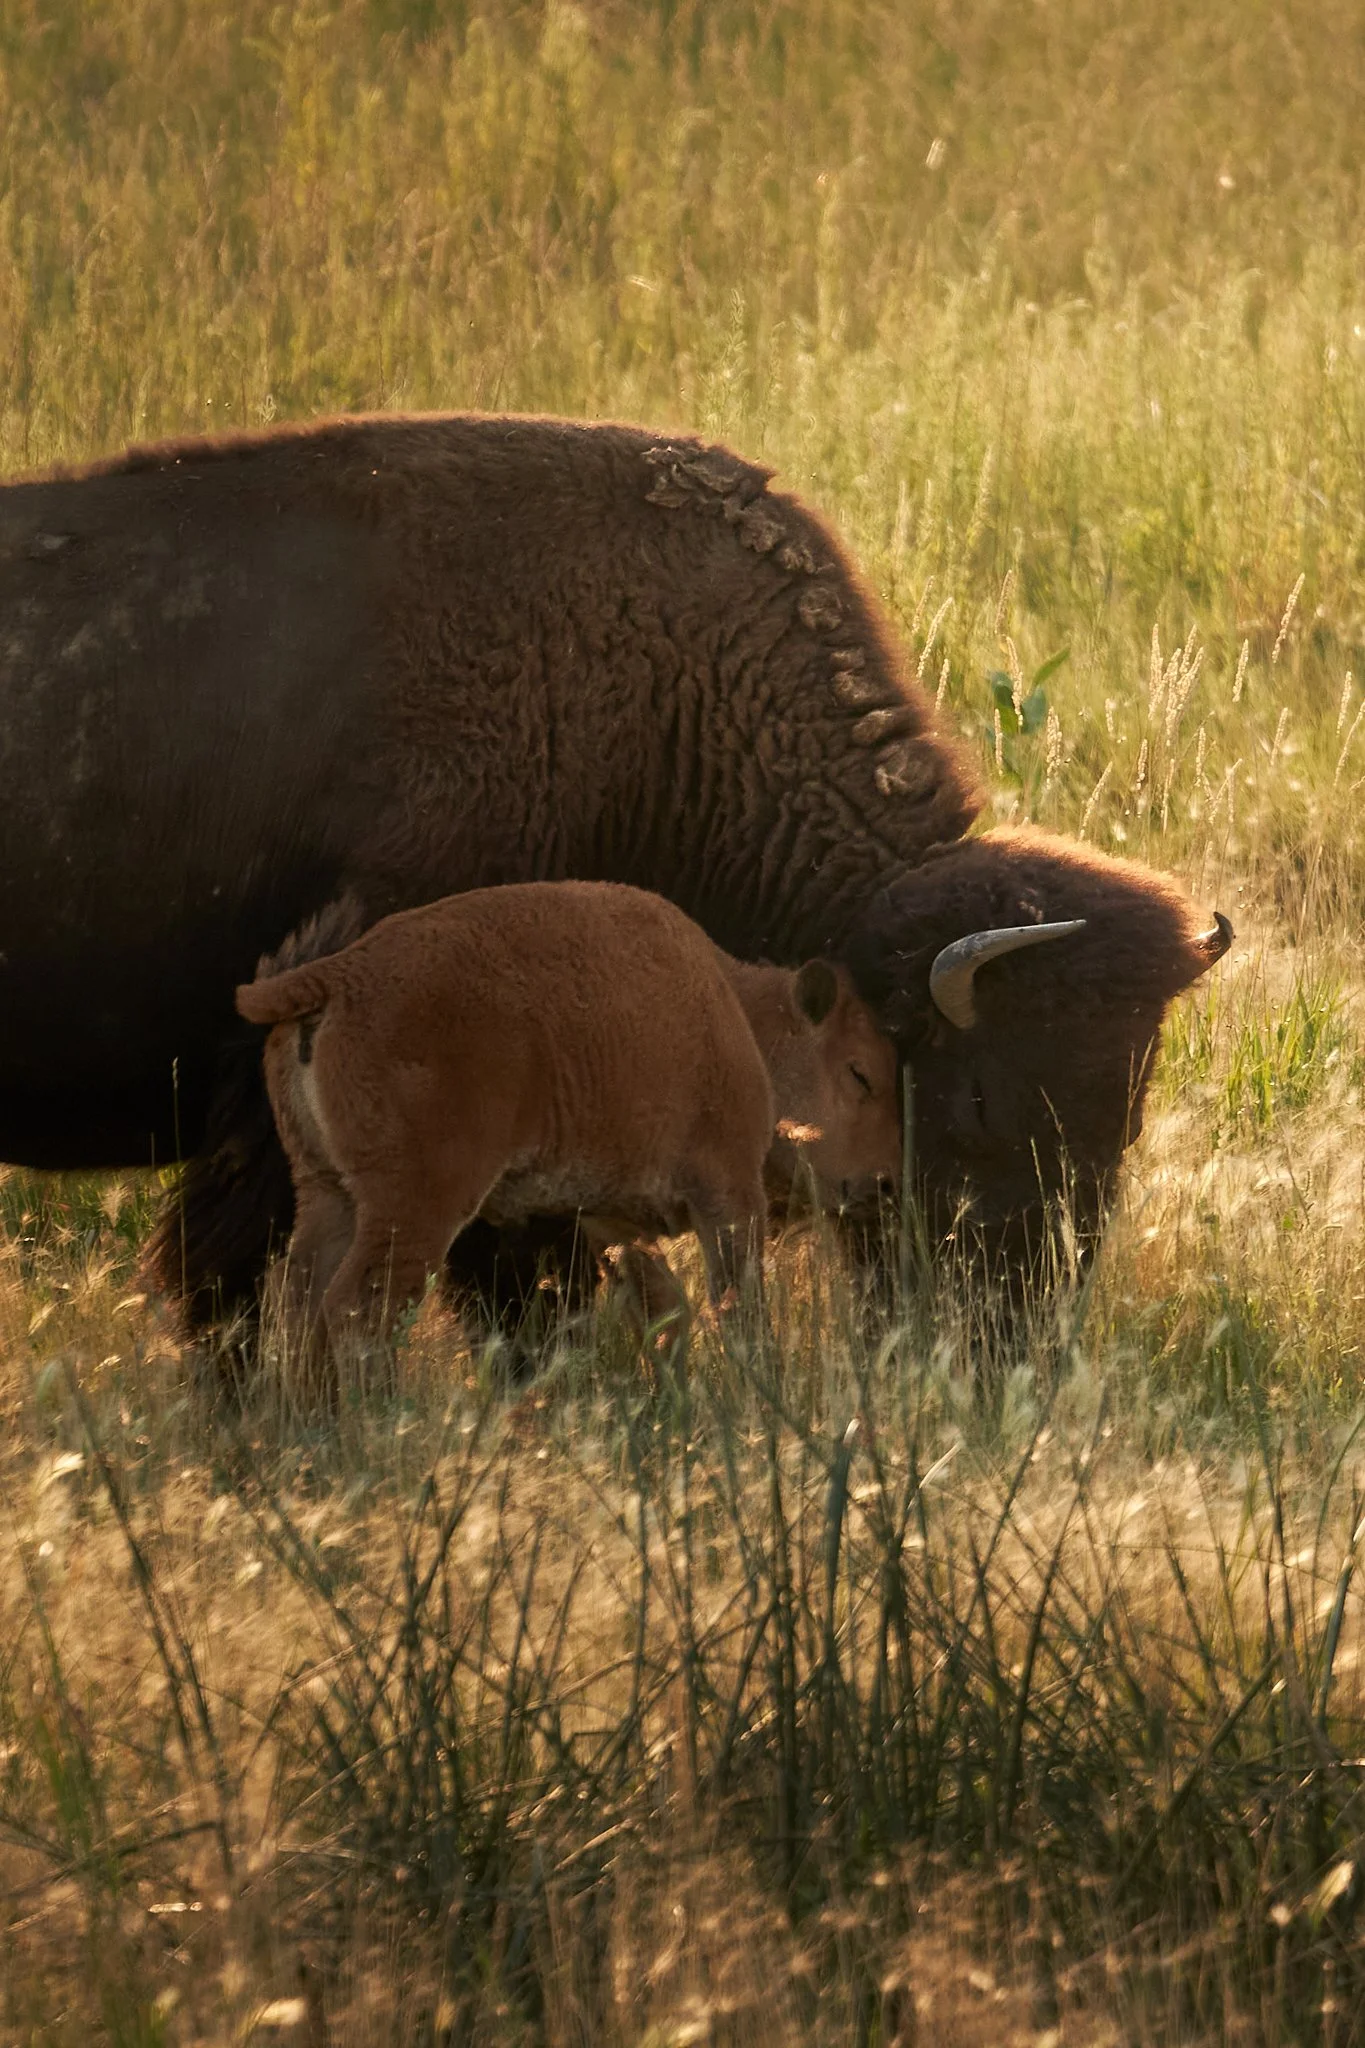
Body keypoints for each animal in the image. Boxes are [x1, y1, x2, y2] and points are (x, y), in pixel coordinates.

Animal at [234, 880, 902, 1375]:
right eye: (859, 1073)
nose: (883, 1185)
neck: (737, 1012)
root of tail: (340, 974)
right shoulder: (730, 1194)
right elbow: (738, 1308)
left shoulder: (610, 1220)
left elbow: (666, 1311)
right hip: (416, 1205)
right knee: (357, 1313)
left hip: (329, 1192)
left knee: (300, 1304)